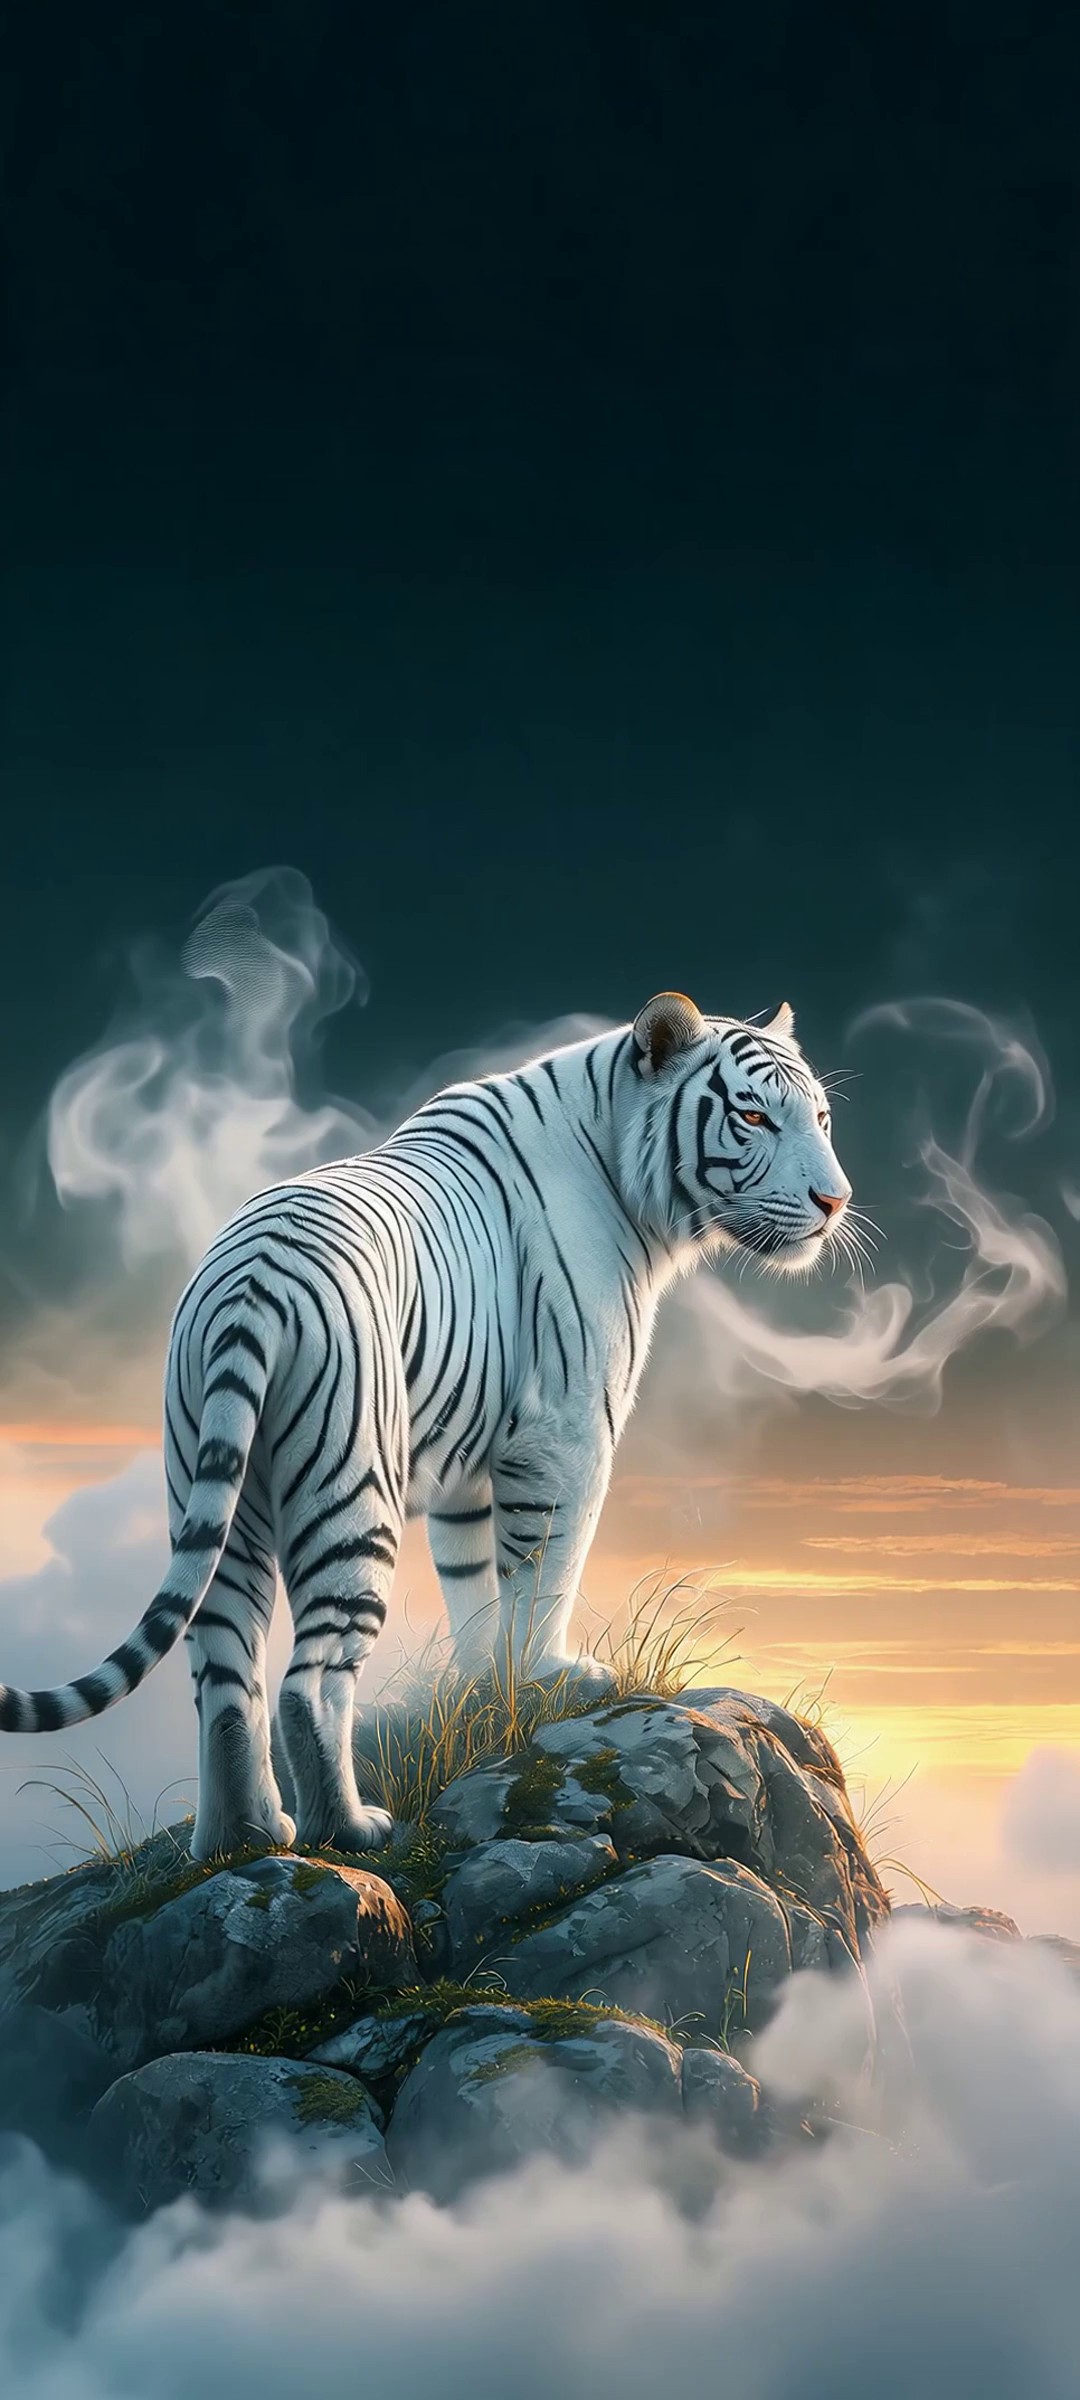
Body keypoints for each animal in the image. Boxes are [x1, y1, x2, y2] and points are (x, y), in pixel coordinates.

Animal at [0, 993, 852, 1861]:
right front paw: (551, 1677)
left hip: (212, 1491)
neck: (620, 1165)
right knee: (310, 1681)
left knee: (225, 1676)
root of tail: (252, 1276)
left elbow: (471, 1585)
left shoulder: (463, 1466)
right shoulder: (568, 1430)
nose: (835, 1202)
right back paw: (350, 1828)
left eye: (819, 1117)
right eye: (753, 1115)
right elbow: (548, 1568)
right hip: (352, 1491)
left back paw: (241, 1836)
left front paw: (482, 1682)